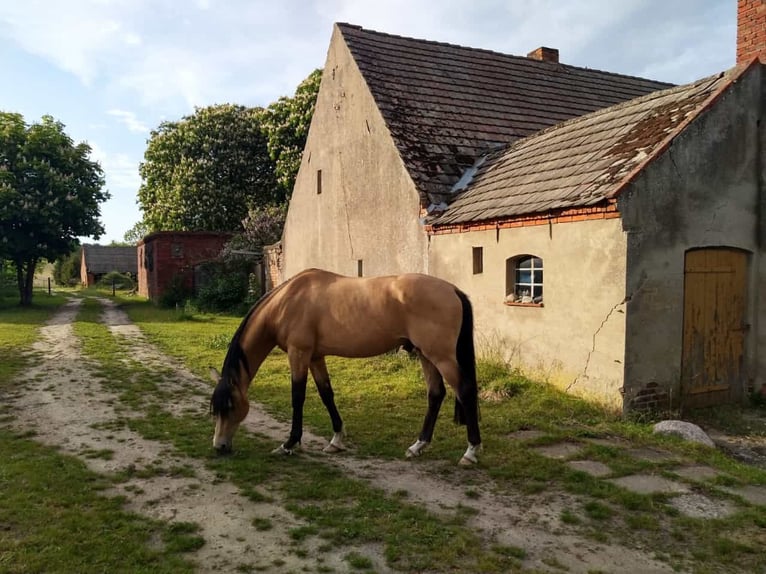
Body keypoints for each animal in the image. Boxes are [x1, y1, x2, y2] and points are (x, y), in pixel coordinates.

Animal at [209, 268, 482, 466]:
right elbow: (326, 394)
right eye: (215, 410)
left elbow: (298, 397)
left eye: (230, 405)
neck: (287, 302)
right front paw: (336, 440)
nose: (219, 446)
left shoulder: (299, 354)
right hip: (426, 355)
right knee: (435, 394)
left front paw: (289, 444)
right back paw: (418, 446)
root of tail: (453, 290)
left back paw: (470, 452)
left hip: (441, 357)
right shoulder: (315, 357)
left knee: (465, 391)